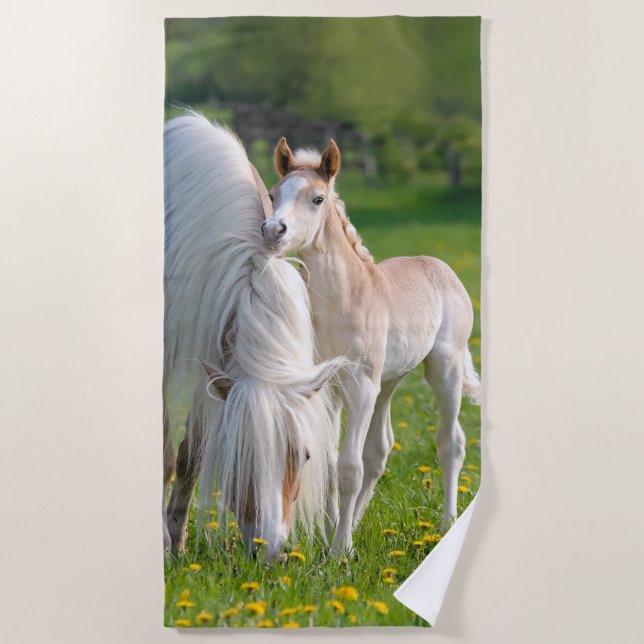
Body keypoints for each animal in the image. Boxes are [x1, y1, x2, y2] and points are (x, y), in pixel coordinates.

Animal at [163, 114, 342, 561]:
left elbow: (192, 454)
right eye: (239, 456)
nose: (271, 550)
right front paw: (164, 543)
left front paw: (176, 539)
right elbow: (167, 454)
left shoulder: (214, 365)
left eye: (306, 455)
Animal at [261, 137, 481, 554]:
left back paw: (447, 523)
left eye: (317, 199)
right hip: (388, 382)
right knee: (380, 449)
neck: (342, 301)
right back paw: (358, 522)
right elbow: (334, 463)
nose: (272, 230)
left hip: (443, 369)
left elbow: (350, 466)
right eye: (273, 193)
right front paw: (332, 533)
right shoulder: (329, 388)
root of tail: (440, 265)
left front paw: (339, 551)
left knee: (451, 443)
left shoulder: (361, 384)